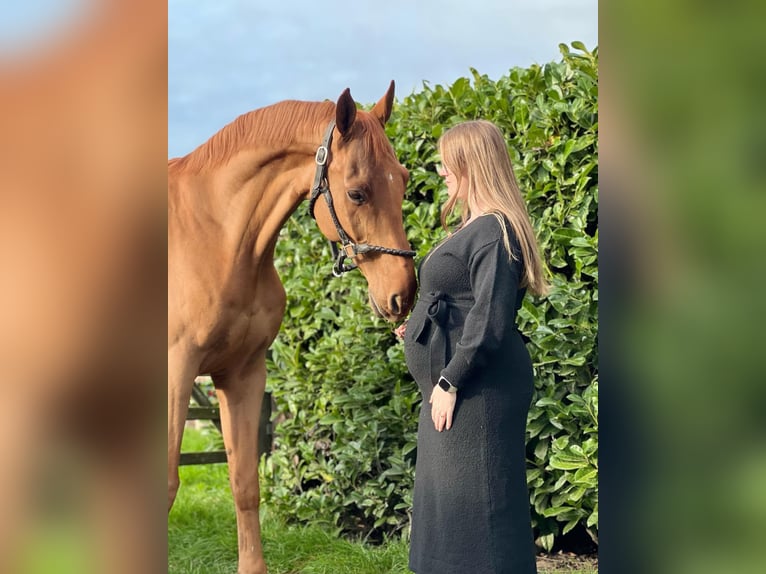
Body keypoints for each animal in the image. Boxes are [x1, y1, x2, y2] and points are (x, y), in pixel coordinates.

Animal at [168, 82, 417, 574]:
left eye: (402, 180)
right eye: (356, 193)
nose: (404, 293)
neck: (218, 239)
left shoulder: (242, 374)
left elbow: (245, 483)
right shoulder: (175, 372)